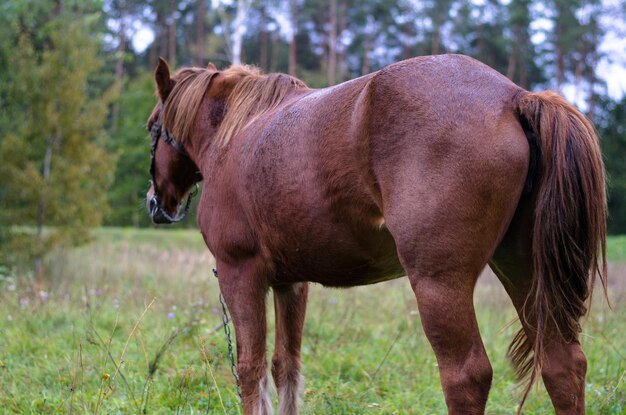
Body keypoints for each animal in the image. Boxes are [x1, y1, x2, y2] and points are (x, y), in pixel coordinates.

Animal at [145, 56, 604, 415]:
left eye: (152, 127)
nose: (155, 203)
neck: (238, 133)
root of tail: (513, 96)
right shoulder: (291, 284)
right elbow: (285, 366)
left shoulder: (240, 274)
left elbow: (250, 369)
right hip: (523, 271)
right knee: (563, 364)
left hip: (440, 284)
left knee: (467, 376)